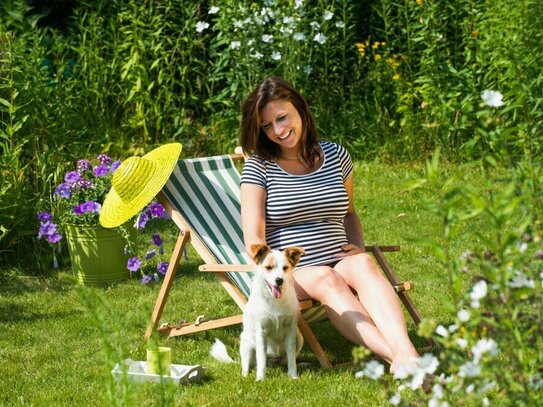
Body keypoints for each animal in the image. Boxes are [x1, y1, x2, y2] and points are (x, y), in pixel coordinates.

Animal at [239, 245, 306, 382]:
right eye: (268, 267)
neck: (275, 300)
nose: (279, 280)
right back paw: (245, 376)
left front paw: (293, 376)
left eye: (285, 268)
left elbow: (292, 359)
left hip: (299, 339)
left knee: (285, 361)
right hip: (246, 344)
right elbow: (261, 359)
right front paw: (260, 379)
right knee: (247, 365)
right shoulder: (261, 333)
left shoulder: (290, 331)